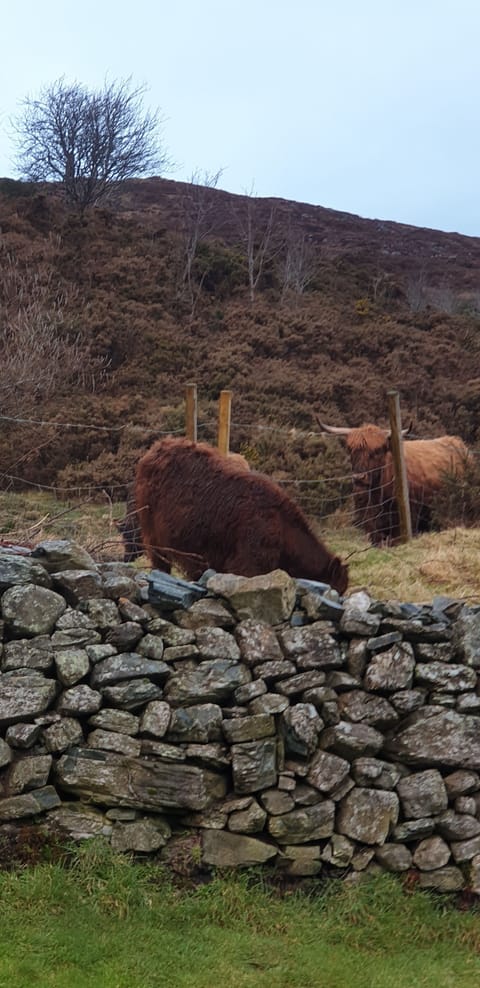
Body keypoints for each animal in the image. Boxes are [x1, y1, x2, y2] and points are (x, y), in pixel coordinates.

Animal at [134, 437, 348, 593]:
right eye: (336, 589)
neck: (282, 527)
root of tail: (158, 446)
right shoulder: (248, 564)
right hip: (154, 533)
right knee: (160, 561)